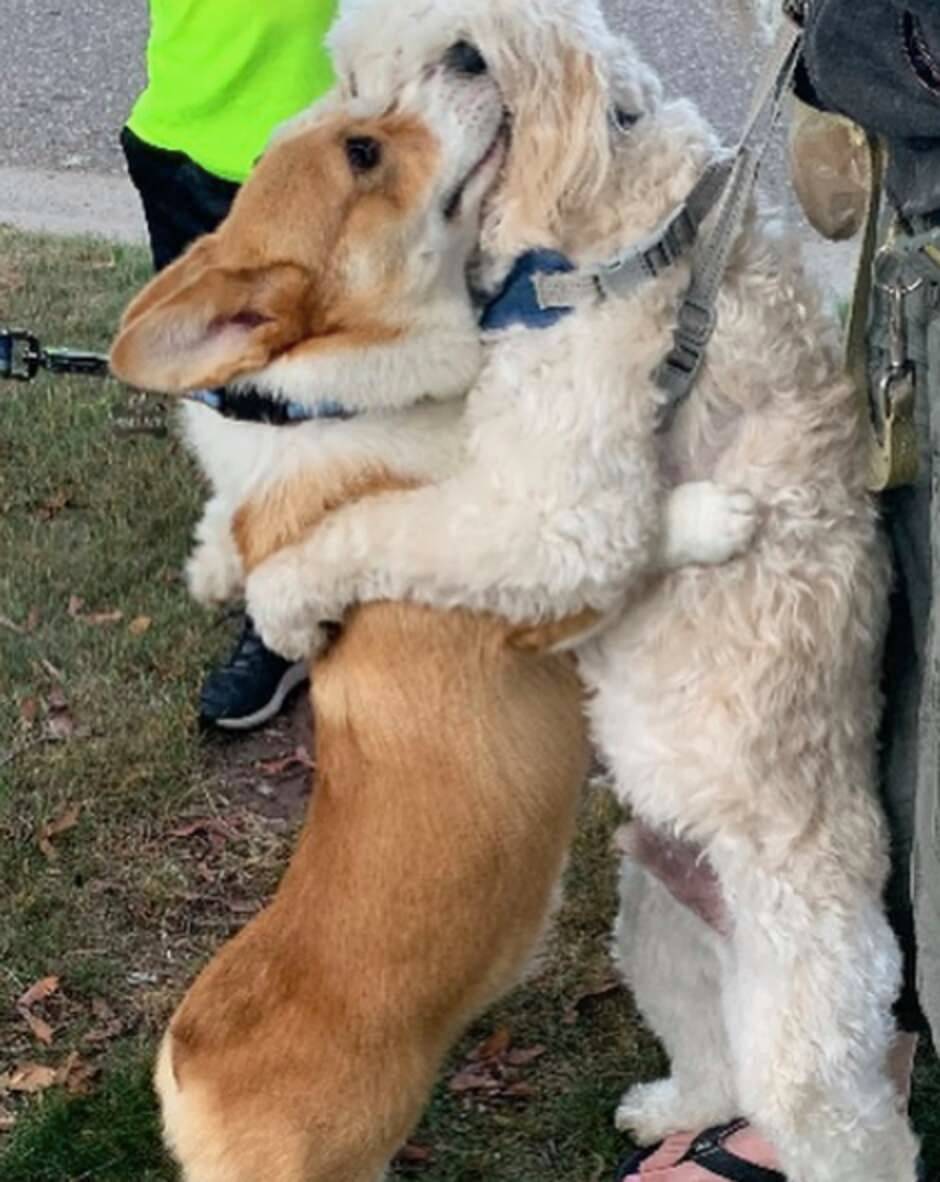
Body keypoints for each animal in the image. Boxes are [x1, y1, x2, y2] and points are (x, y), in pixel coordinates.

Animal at [108, 2, 917, 1182]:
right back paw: (671, 1113)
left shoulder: (551, 518)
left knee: (844, 1125)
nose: (448, 67)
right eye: (361, 90)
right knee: (712, 1055)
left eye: (459, 54)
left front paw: (279, 594)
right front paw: (229, 562)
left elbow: (374, 531)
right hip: (663, 922)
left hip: (794, 1006)